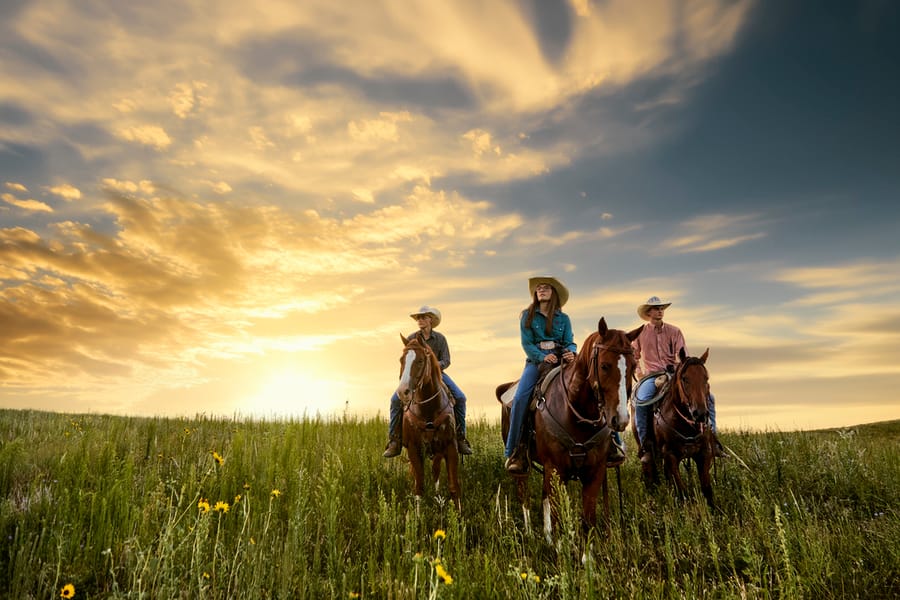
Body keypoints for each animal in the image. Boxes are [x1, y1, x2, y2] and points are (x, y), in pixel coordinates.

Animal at [398, 330, 460, 508]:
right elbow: (419, 487)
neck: (428, 410)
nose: (402, 392)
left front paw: (459, 515)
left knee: (436, 471)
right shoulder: (413, 448)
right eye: (401, 360)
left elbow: (454, 487)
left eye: (420, 360)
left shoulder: (451, 446)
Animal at [496, 318, 636, 544]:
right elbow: (558, 520)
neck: (575, 411)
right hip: (525, 467)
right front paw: (561, 550)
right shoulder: (556, 468)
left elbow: (587, 522)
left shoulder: (594, 472)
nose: (621, 419)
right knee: (523, 493)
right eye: (604, 365)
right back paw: (529, 533)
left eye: (633, 366)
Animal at [640, 346, 716, 506]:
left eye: (706, 378)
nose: (700, 414)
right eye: (685, 378)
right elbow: (682, 491)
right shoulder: (670, 455)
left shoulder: (704, 453)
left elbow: (707, 490)